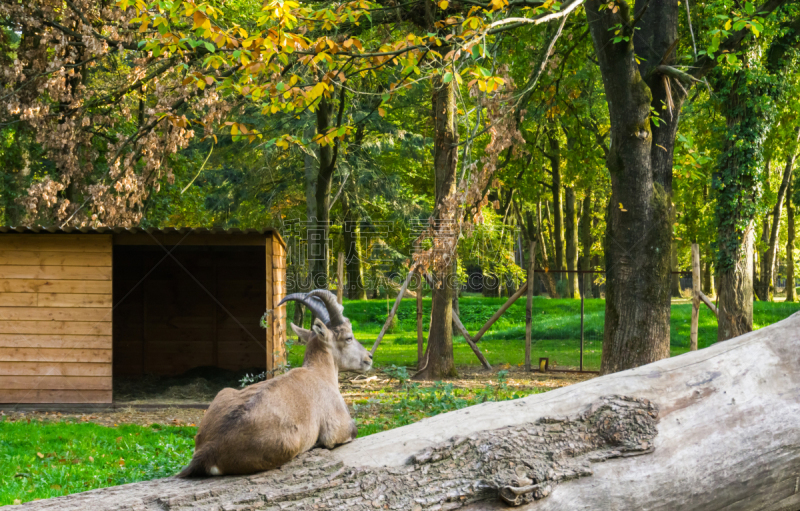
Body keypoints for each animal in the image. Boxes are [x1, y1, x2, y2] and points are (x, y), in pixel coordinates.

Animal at [177, 292, 370, 480]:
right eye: (348, 337)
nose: (369, 358)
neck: (320, 373)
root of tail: (208, 451)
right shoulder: (337, 429)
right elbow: (350, 433)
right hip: (289, 445)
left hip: (224, 392)